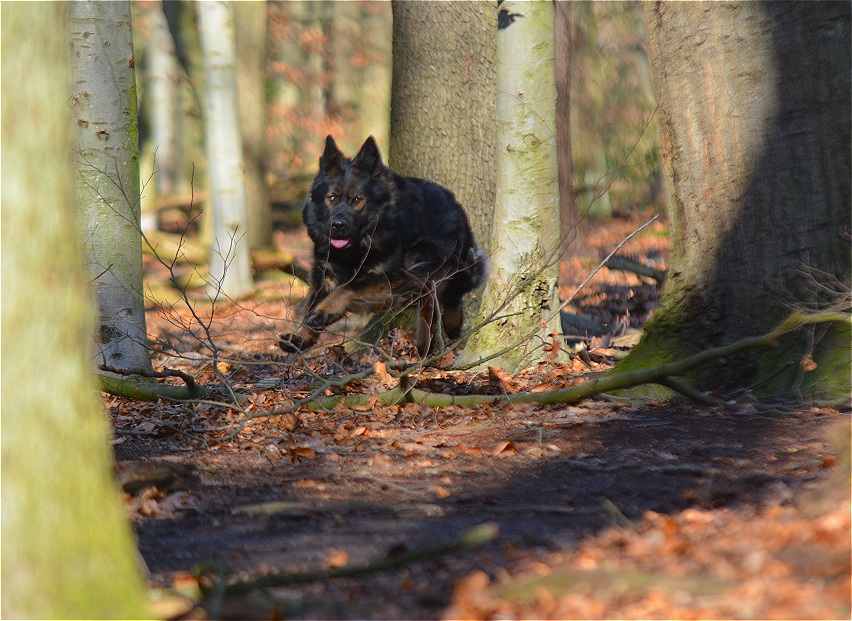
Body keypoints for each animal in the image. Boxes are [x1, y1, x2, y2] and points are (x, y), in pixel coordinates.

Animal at [278, 135, 487, 356]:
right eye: (332, 198)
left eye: (357, 200)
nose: (338, 225)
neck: (360, 246)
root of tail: (454, 202)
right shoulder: (325, 276)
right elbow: (311, 305)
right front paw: (300, 337)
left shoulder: (393, 279)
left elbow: (348, 287)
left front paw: (323, 312)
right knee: (430, 305)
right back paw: (427, 344)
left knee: (451, 294)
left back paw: (449, 327)